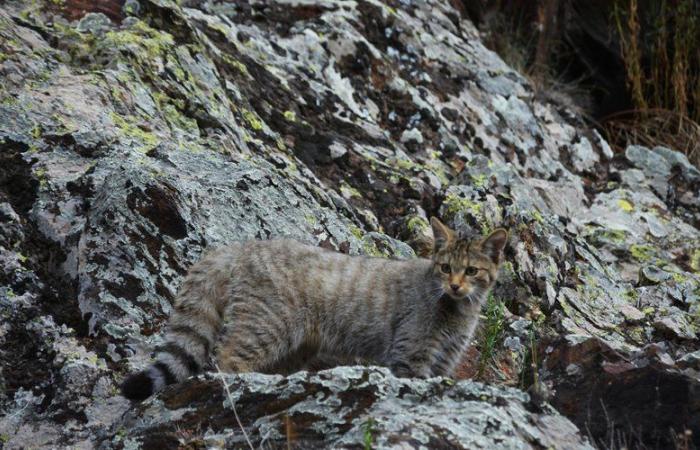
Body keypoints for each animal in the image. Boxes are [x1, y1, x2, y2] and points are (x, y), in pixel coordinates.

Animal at [120, 218, 504, 400]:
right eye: (445, 267)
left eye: (472, 271)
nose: (455, 286)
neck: (456, 312)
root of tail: (243, 247)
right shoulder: (411, 358)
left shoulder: (444, 363)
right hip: (266, 326)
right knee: (227, 357)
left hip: (293, 348)